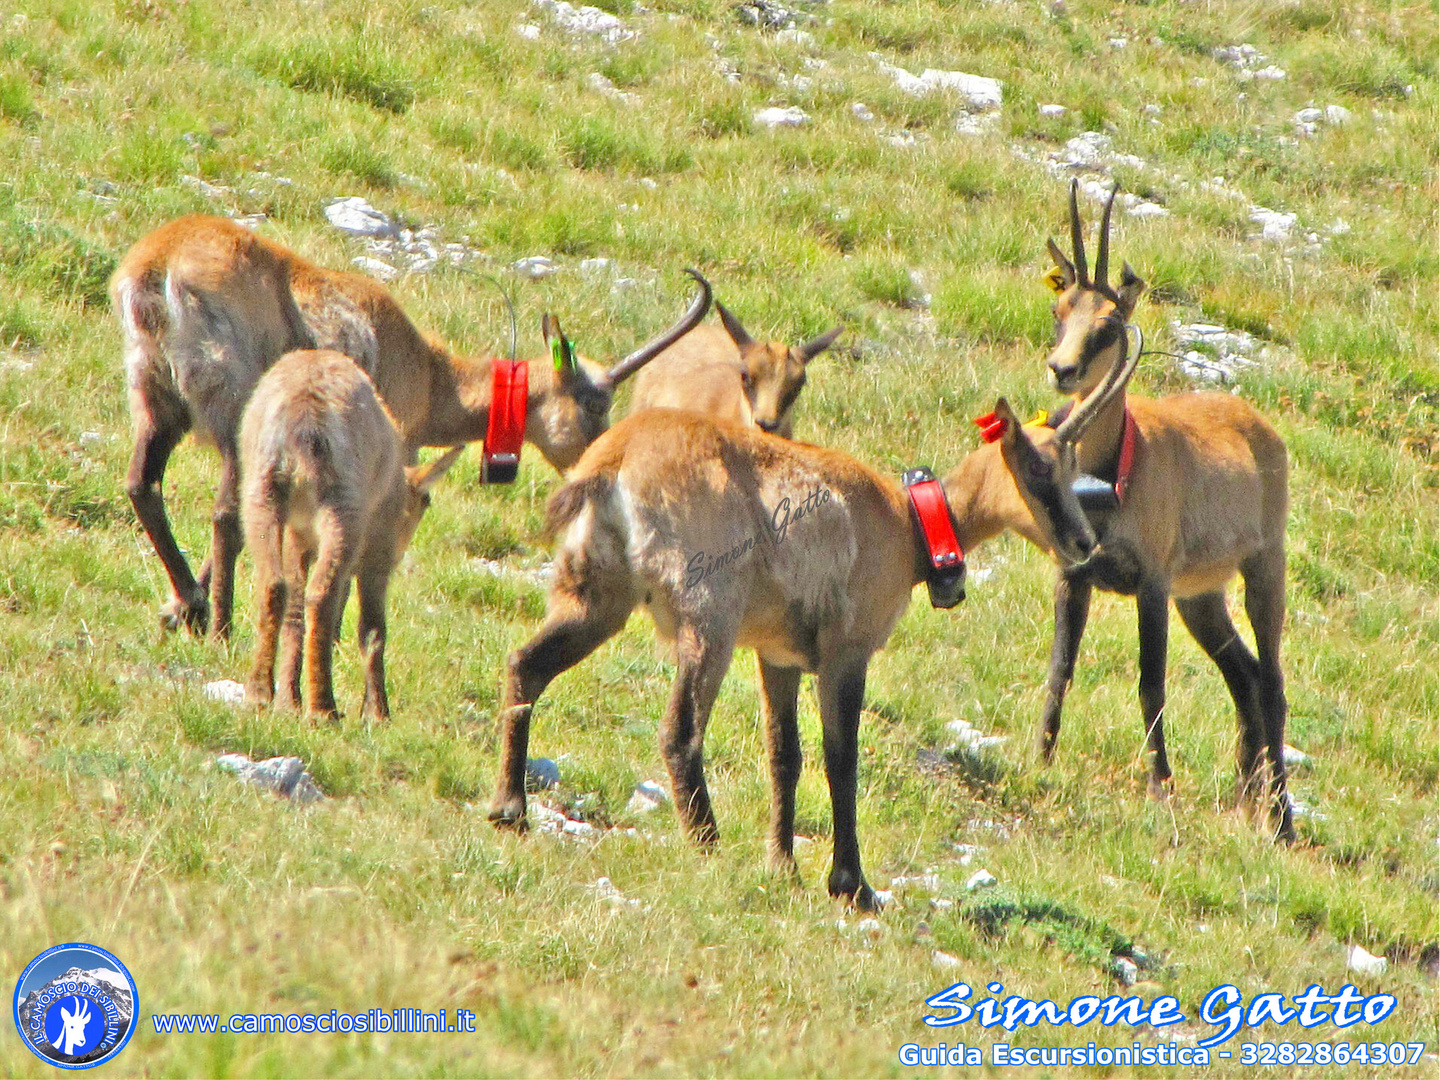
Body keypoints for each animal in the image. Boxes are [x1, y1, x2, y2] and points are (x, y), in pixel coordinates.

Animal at [110, 220, 708, 642]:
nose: (600, 460)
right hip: (230, 405)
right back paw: (216, 623)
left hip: (155, 397)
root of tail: (157, 266)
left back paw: (192, 602)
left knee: (143, 484)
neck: (429, 374)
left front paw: (173, 611)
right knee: (226, 513)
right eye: (594, 401)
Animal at [239, 351, 457, 722]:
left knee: (275, 584)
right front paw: (378, 713)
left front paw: (289, 701)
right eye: (426, 501)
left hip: (263, 493)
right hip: (343, 506)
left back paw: (261, 694)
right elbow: (373, 628)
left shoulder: (298, 536)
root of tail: (305, 418)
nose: (400, 555)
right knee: (321, 594)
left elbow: (294, 613)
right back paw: (323, 708)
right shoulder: (377, 550)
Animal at [483, 361, 1123, 904]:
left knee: (525, 663)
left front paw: (784, 865)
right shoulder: (846, 649)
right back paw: (710, 845)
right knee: (680, 729)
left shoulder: (779, 655)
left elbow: (783, 755)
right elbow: (841, 757)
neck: (907, 524)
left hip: (595, 595)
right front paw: (852, 884)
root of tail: (613, 459)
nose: (1084, 542)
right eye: (1040, 468)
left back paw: (509, 808)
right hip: (709, 614)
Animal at [1025, 184, 1296, 846]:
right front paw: (1039, 760)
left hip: (1262, 567)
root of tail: (1258, 425)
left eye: (1107, 325)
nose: (1061, 370)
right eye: (1059, 309)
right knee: (1245, 674)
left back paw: (1281, 820)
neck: (1112, 472)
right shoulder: (1074, 577)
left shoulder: (1149, 583)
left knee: (1273, 681)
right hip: (1199, 597)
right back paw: (1248, 798)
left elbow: (1152, 683)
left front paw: (1159, 787)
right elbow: (1060, 667)